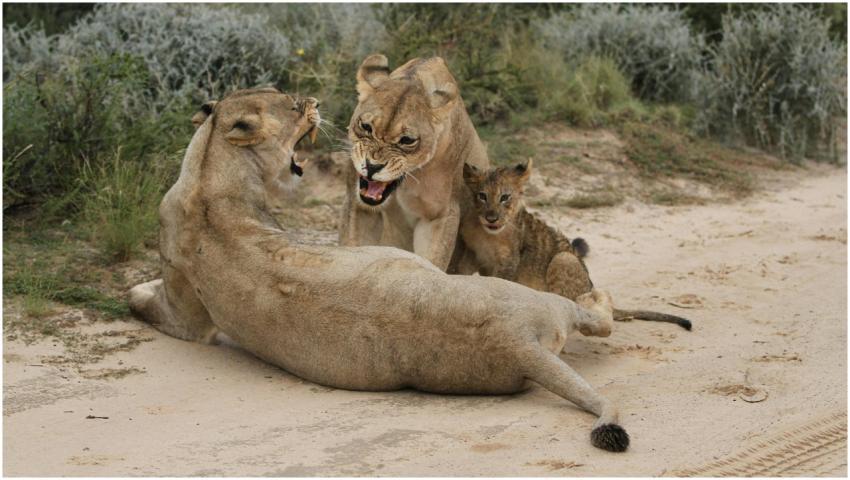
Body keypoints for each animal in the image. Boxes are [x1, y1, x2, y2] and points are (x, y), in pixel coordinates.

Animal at [128, 88, 630, 452]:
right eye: (291, 104)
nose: (314, 100)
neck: (208, 171)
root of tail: (519, 345)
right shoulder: (190, 321)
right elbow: (140, 302)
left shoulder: (192, 316)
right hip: (533, 300)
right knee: (597, 317)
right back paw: (597, 296)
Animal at [338, 54, 490, 271]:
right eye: (366, 126)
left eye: (407, 140)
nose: (372, 167)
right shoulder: (358, 205)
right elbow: (353, 248)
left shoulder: (439, 215)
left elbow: (431, 263)